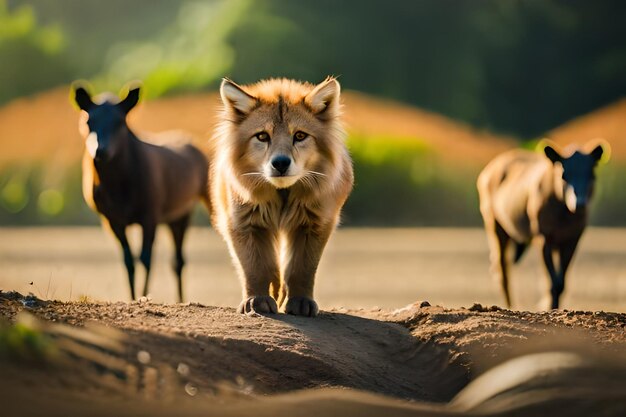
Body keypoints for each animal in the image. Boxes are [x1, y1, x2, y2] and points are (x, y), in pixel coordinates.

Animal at [210, 76, 354, 316]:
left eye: (300, 135)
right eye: (262, 136)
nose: (280, 163)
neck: (282, 197)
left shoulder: (314, 224)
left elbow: (301, 269)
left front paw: (300, 302)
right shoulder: (243, 224)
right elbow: (255, 268)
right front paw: (256, 301)